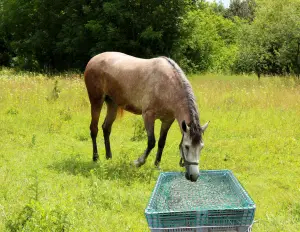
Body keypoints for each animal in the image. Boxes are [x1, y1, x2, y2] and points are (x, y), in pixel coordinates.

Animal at [83, 52, 207, 181]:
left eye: (201, 147)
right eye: (187, 146)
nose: (194, 176)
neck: (167, 85)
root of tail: (93, 59)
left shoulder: (168, 120)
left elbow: (161, 142)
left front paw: (157, 166)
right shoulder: (148, 116)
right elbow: (151, 142)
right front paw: (137, 162)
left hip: (112, 103)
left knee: (106, 128)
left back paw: (109, 157)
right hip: (96, 101)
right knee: (94, 129)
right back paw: (96, 158)